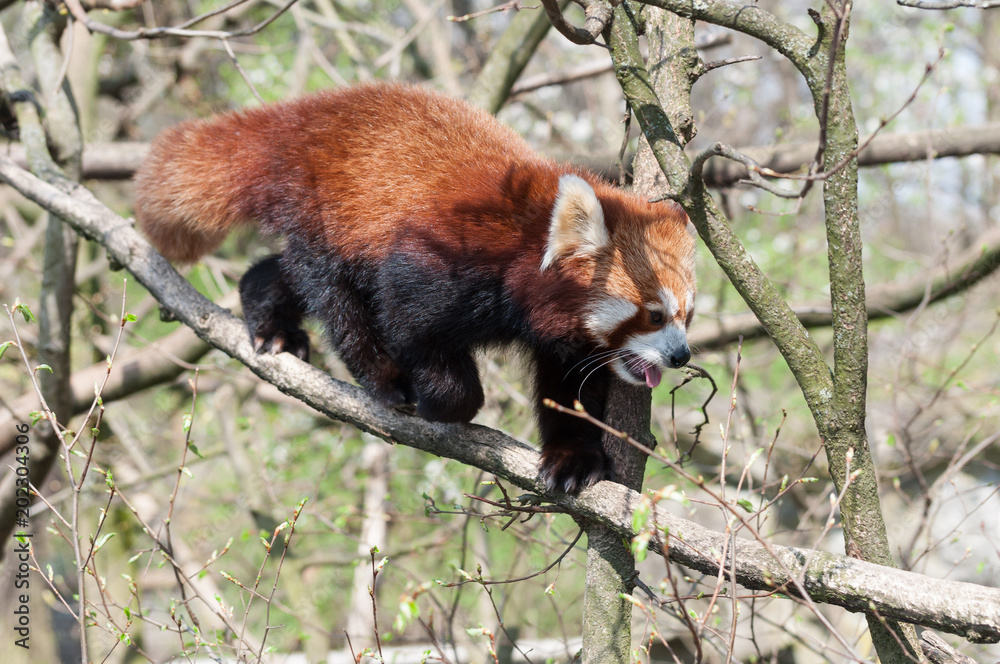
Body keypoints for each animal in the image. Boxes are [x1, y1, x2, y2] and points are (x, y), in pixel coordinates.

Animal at [133, 80, 696, 492]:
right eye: (653, 314)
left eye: (686, 316)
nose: (682, 355)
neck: (524, 245)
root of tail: (306, 116)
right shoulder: (443, 262)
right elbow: (410, 323)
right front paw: (444, 401)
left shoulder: (563, 333)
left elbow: (571, 388)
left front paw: (572, 459)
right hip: (328, 212)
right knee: (336, 296)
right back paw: (383, 379)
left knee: (286, 270)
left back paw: (268, 314)